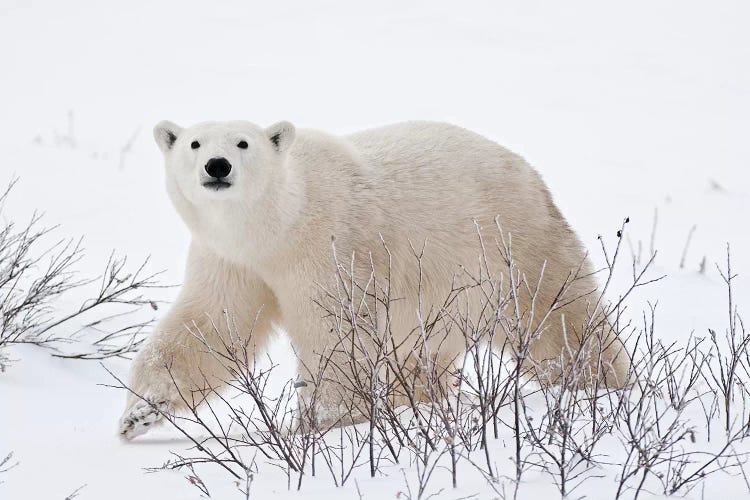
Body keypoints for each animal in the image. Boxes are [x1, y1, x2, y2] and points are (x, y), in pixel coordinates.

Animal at [119, 119, 628, 440]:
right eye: (194, 144)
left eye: (243, 143)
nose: (218, 166)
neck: (277, 225)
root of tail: (525, 167)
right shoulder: (231, 259)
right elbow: (208, 326)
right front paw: (139, 413)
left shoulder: (327, 243)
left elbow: (334, 332)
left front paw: (321, 421)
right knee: (421, 349)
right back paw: (416, 401)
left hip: (506, 239)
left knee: (554, 313)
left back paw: (596, 382)